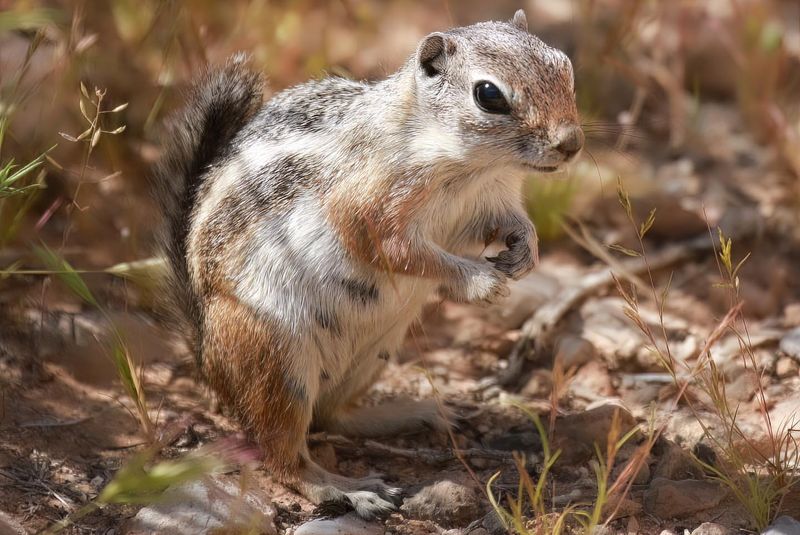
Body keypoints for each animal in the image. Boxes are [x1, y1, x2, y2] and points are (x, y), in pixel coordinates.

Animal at [153, 8, 584, 520]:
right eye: (489, 95)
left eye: (565, 66)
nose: (572, 143)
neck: (471, 166)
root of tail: (207, 360)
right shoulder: (370, 208)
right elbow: (397, 251)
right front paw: (480, 282)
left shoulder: (492, 201)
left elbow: (509, 224)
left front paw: (525, 252)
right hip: (277, 358)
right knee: (282, 457)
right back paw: (346, 488)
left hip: (376, 350)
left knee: (331, 416)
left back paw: (417, 412)